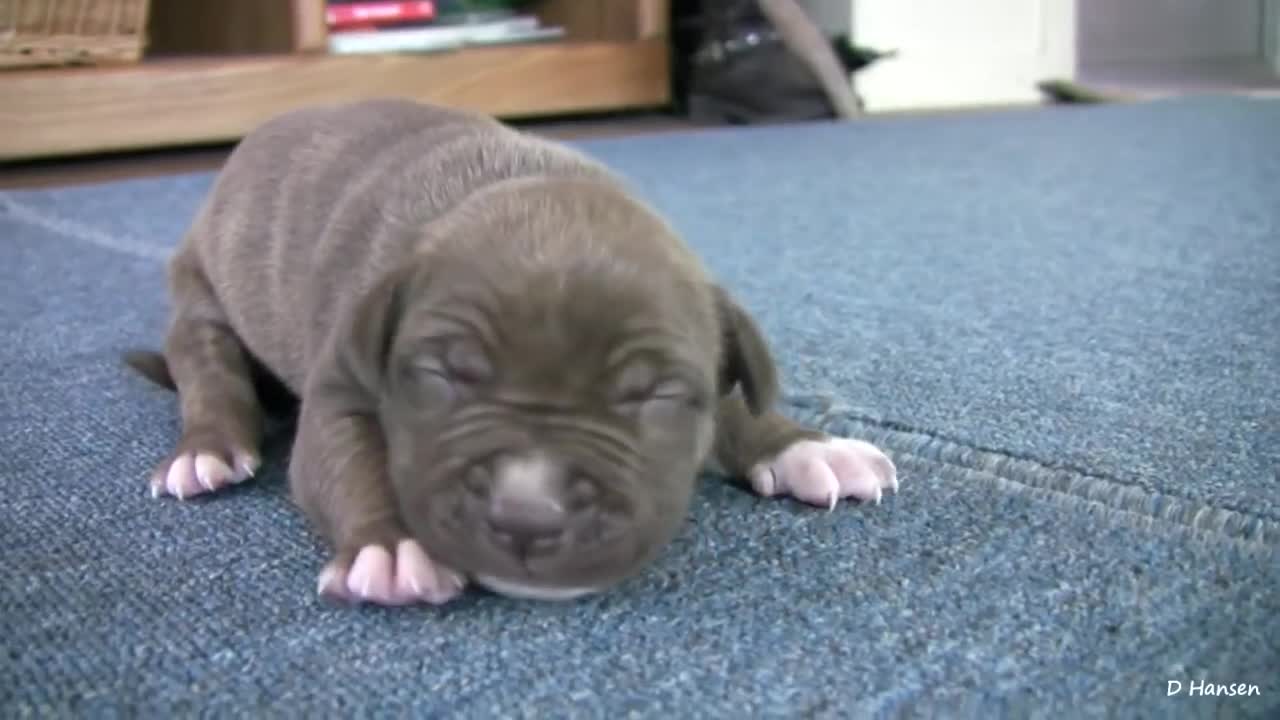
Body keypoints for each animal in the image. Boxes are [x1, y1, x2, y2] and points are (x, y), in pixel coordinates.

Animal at [124, 99, 896, 604]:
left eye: (655, 396)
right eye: (442, 376)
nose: (528, 513)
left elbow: (735, 396)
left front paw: (802, 445)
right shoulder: (341, 384)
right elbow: (348, 461)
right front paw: (391, 547)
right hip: (201, 297)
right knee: (209, 371)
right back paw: (208, 449)